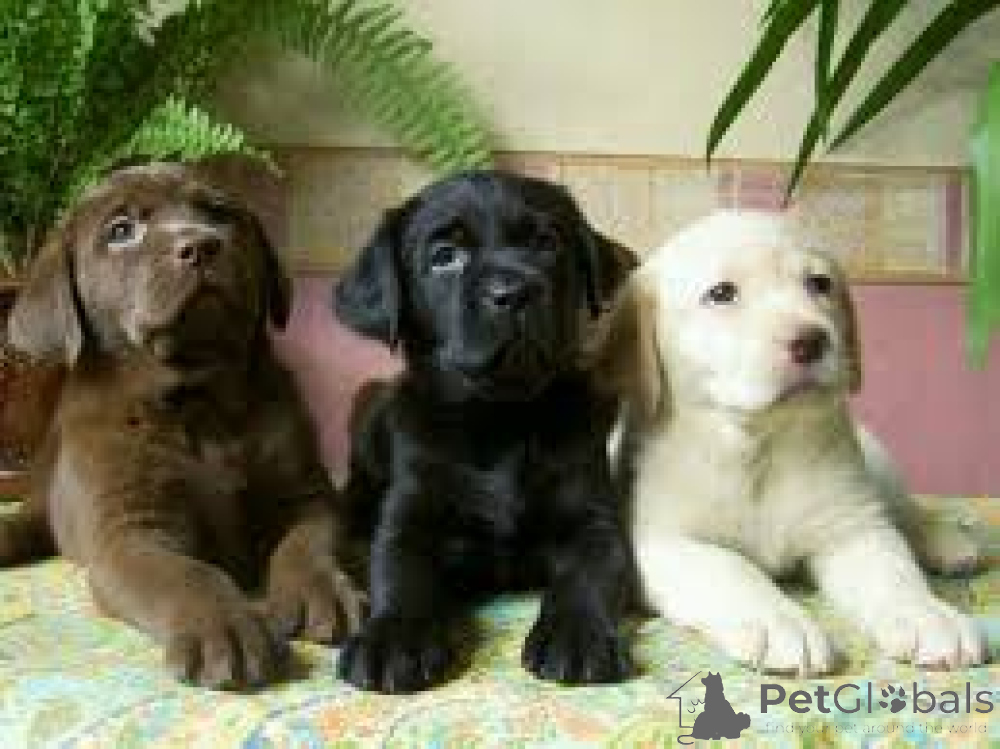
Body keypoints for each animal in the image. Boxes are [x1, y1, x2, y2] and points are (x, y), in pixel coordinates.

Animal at [0, 162, 365, 689]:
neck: (199, 401)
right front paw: (225, 628)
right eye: (121, 230)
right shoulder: (128, 534)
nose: (201, 245)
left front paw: (321, 591)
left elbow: (306, 544)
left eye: (218, 213)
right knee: (32, 519)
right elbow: (189, 574)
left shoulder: (307, 496)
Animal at [332, 170, 638, 693]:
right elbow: (397, 569)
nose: (515, 291)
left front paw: (578, 636)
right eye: (444, 256)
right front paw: (392, 637)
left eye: (546, 243)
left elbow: (591, 574)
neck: (500, 419)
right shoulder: (411, 514)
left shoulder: (594, 519)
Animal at [601, 210, 985, 674]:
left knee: (906, 512)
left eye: (819, 284)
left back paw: (949, 544)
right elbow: (732, 570)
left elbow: (895, 574)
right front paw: (778, 622)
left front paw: (927, 616)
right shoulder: (664, 543)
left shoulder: (853, 528)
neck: (758, 446)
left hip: (876, 470)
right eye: (721, 293)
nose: (813, 340)